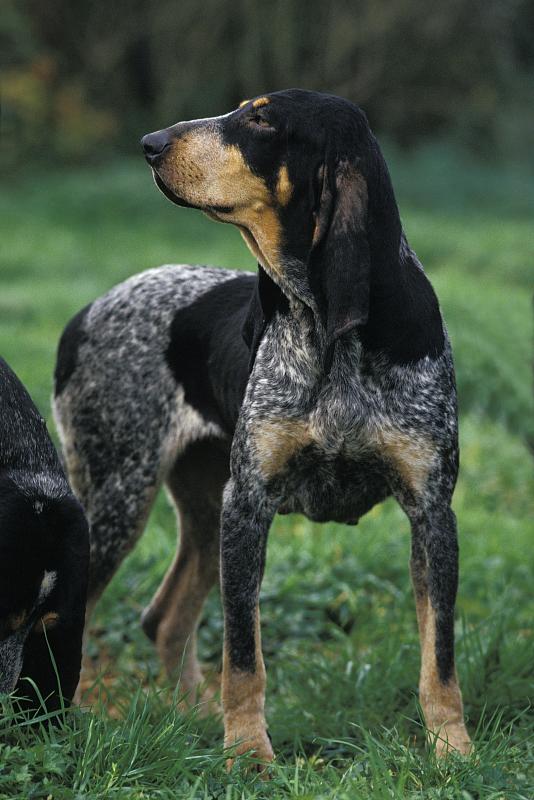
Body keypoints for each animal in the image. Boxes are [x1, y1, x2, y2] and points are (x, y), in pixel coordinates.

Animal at [53, 89, 474, 764]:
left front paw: (451, 749)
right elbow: (244, 654)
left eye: (260, 119)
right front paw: (249, 755)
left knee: (164, 619)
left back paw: (192, 717)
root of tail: (84, 313)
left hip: (201, 511)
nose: (148, 143)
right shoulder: (249, 504)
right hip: (124, 500)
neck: (330, 331)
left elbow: (440, 656)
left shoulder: (432, 512)